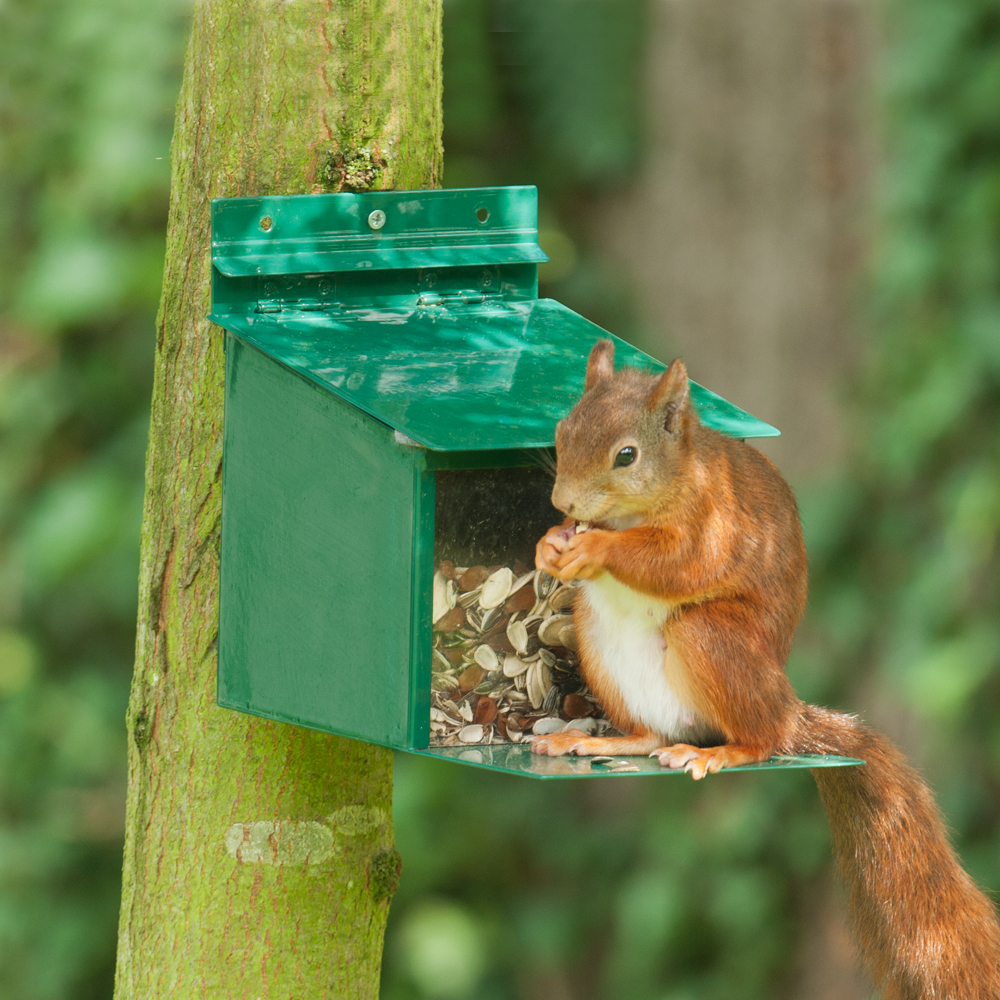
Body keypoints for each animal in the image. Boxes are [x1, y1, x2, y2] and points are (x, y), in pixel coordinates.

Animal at [536, 342, 1000, 1000]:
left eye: (626, 455)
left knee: (759, 737)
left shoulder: (713, 522)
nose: (564, 505)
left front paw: (595, 548)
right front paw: (549, 544)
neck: (640, 506)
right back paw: (603, 740)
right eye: (561, 430)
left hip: (714, 641)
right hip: (597, 640)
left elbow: (678, 562)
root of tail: (788, 711)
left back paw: (723, 752)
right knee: (650, 733)